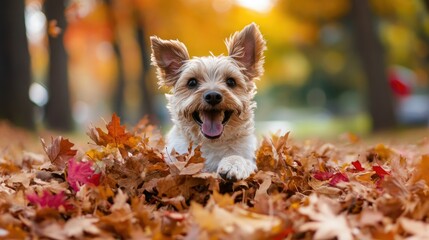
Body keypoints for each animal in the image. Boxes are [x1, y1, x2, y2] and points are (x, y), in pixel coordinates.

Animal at [150, 23, 264, 181]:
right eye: (192, 82)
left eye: (231, 81)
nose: (213, 96)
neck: (211, 143)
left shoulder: (246, 155)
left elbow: (238, 158)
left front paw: (232, 165)